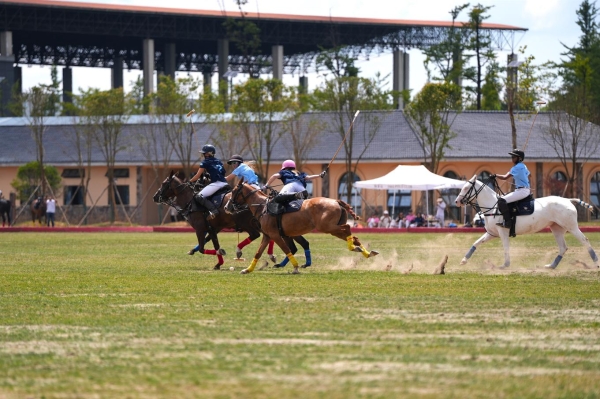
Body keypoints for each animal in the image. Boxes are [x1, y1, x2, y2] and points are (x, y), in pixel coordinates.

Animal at [225, 181, 380, 276]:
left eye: (234, 191)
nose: (227, 207)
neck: (262, 206)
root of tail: (336, 201)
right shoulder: (267, 236)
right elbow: (258, 253)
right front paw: (247, 269)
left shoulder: (275, 235)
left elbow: (287, 250)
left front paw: (295, 267)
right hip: (332, 229)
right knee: (353, 235)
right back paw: (364, 251)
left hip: (327, 227)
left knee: (347, 227)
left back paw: (355, 248)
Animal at [454, 174, 600, 268]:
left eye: (466, 188)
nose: (457, 201)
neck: (493, 206)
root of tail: (568, 200)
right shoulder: (492, 233)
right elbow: (476, 243)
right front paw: (463, 260)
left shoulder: (503, 231)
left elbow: (506, 247)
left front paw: (505, 265)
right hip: (556, 228)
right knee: (563, 247)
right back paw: (551, 266)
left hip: (571, 226)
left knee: (585, 241)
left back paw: (596, 263)